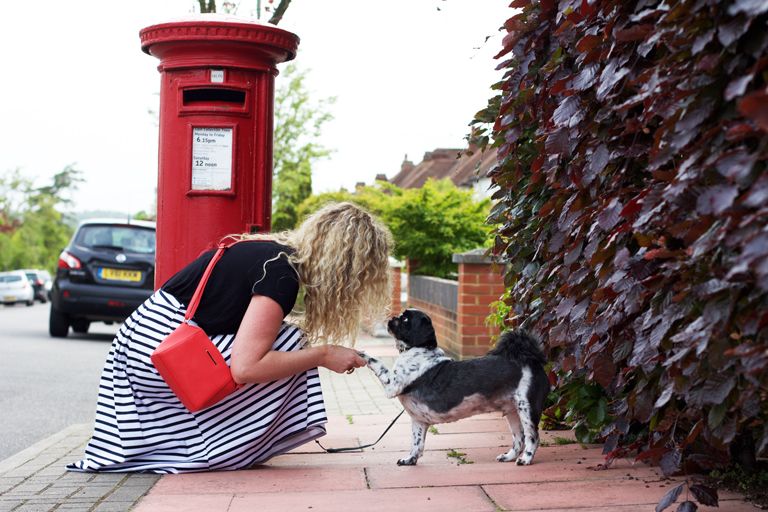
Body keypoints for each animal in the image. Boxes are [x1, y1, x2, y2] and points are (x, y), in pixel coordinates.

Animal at [356, 310, 548, 466]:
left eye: (405, 319)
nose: (392, 318)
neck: (419, 350)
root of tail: (532, 362)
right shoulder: (419, 420)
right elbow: (417, 444)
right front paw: (410, 460)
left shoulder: (392, 383)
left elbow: (376, 362)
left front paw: (360, 354)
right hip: (512, 412)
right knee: (519, 439)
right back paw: (508, 457)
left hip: (527, 409)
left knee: (532, 438)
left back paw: (525, 459)